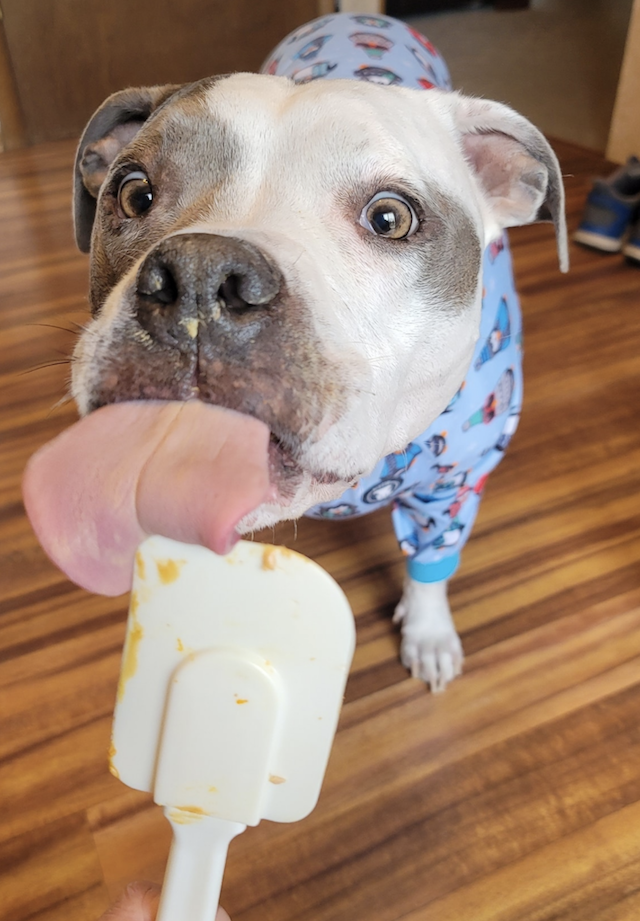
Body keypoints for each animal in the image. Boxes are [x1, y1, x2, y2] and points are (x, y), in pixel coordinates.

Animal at [72, 14, 568, 688]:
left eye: (390, 218)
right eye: (133, 194)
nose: (200, 276)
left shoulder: (456, 480)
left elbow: (432, 563)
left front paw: (429, 632)